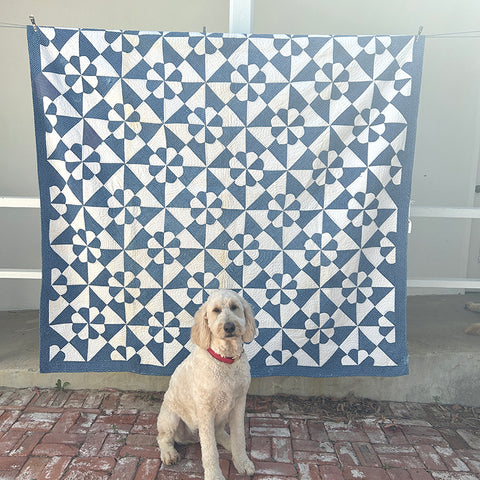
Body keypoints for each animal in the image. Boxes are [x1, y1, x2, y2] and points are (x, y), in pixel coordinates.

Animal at [158, 288, 256, 480]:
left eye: (234, 307)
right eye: (216, 310)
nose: (229, 327)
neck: (226, 360)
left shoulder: (239, 403)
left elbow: (239, 437)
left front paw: (242, 461)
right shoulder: (205, 411)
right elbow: (210, 451)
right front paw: (214, 475)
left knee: (219, 434)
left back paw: (229, 443)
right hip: (170, 418)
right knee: (163, 438)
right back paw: (169, 453)